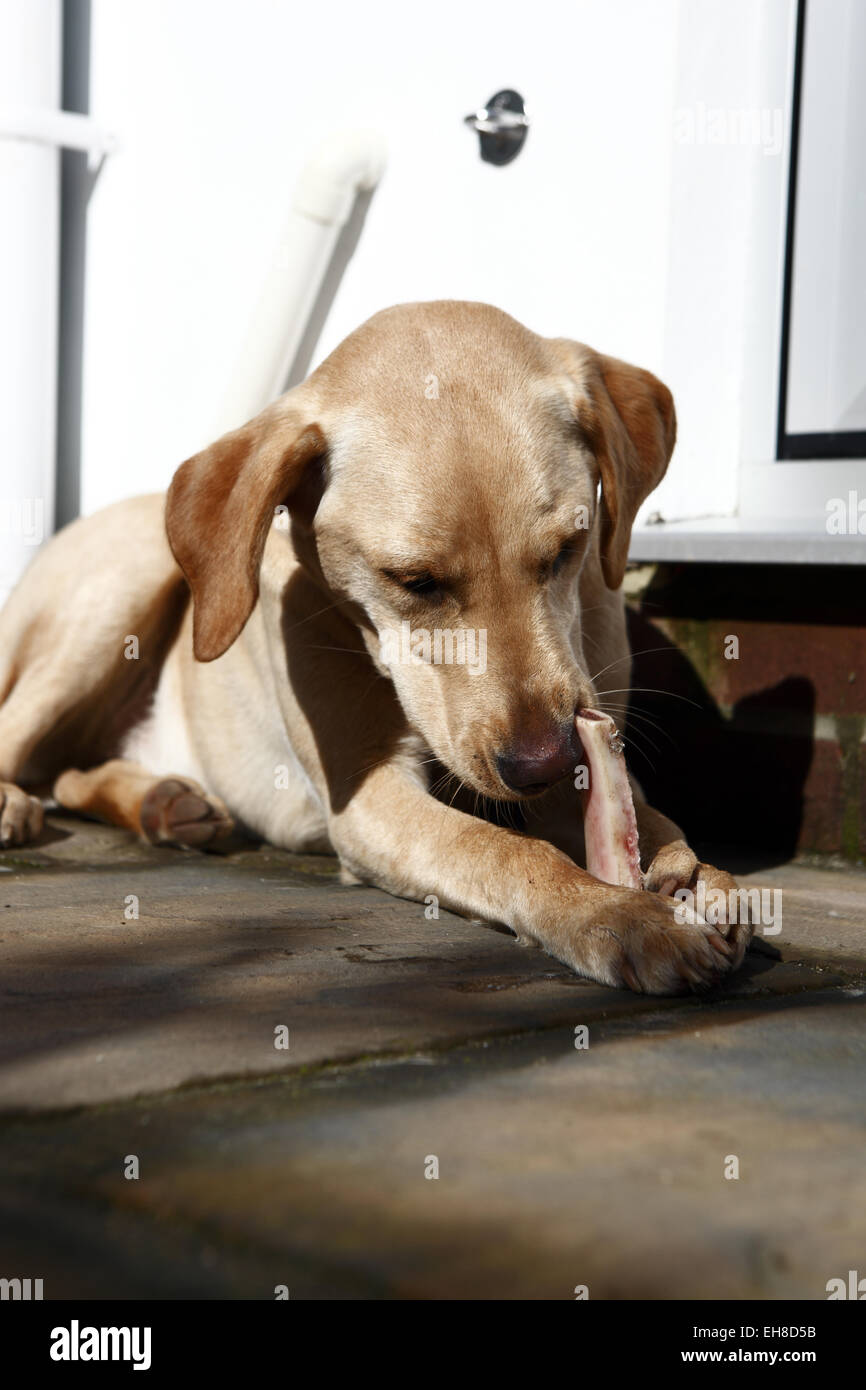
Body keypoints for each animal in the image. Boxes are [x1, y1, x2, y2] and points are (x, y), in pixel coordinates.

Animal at [0, 301, 750, 989]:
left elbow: (653, 819)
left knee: (67, 772)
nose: (544, 762)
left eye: (570, 548)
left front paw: (696, 876)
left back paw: (163, 801)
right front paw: (615, 916)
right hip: (119, 585)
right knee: (24, 743)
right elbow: (503, 850)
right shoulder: (369, 798)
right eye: (414, 581)